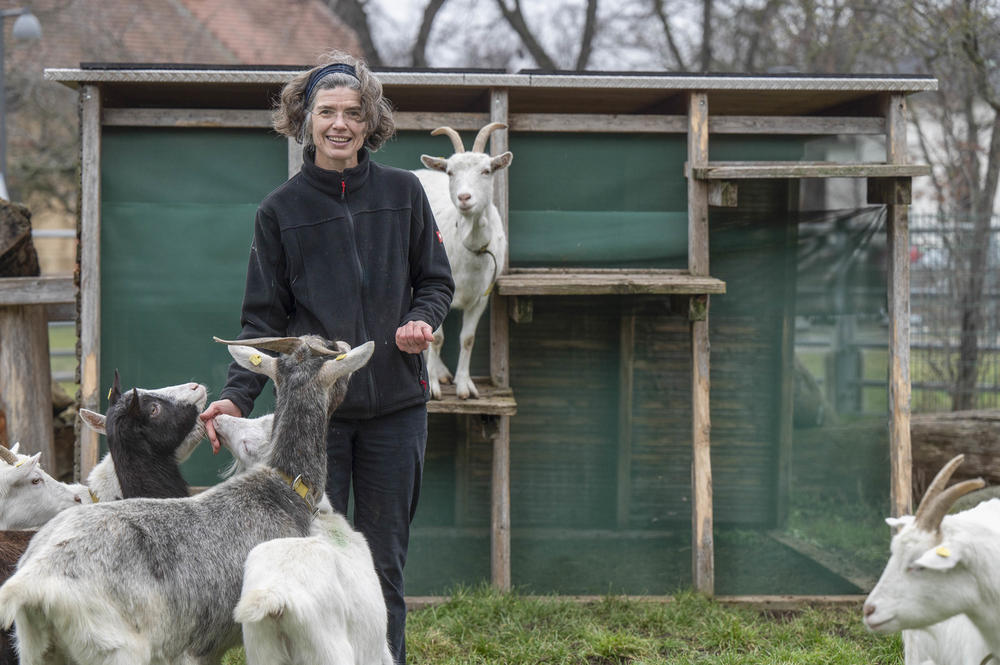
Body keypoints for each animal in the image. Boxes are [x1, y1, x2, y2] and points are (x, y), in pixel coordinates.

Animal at [412, 120, 512, 400]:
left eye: (487, 170)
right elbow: (436, 338)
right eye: (450, 172)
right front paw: (433, 387)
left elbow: (467, 338)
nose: (464, 198)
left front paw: (465, 386)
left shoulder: (481, 297)